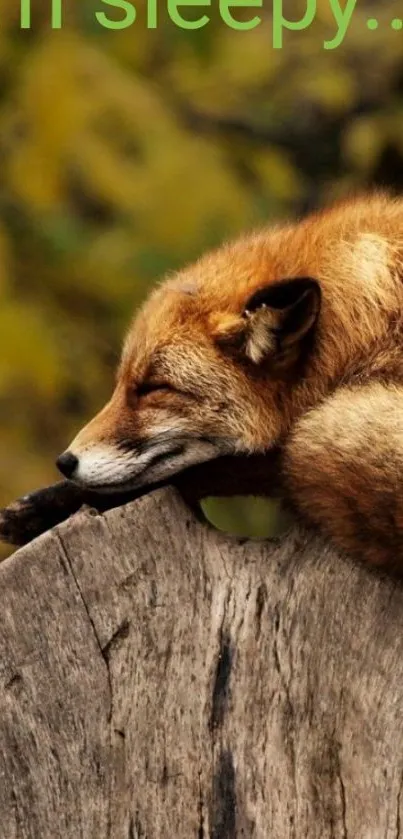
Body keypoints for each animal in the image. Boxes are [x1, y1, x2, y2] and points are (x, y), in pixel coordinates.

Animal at [2, 192, 403, 572]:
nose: (64, 462)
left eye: (153, 388)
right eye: (122, 383)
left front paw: (41, 507)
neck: (364, 332)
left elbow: (201, 472)